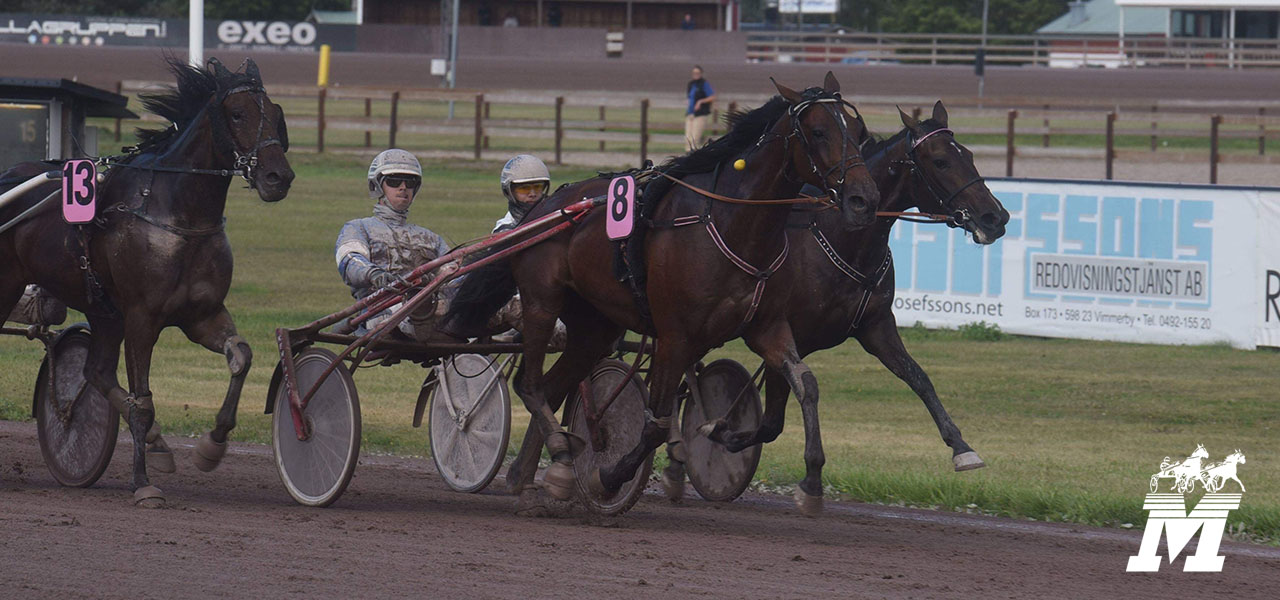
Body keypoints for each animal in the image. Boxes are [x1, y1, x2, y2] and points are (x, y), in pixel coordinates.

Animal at [0, 57, 293, 504]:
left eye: (276, 114)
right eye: (237, 113)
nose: (279, 177)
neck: (178, 216)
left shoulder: (201, 314)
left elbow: (241, 356)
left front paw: (211, 445)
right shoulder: (142, 318)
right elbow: (142, 402)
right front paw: (143, 483)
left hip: (102, 310)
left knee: (96, 372)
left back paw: (156, 443)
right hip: (11, 287)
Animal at [448, 72, 880, 511]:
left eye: (859, 131)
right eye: (818, 131)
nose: (865, 199)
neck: (730, 223)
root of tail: (542, 211)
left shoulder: (767, 327)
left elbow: (806, 384)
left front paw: (811, 481)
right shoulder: (676, 336)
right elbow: (655, 424)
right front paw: (609, 476)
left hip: (594, 326)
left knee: (553, 387)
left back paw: (544, 470)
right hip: (541, 302)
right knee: (530, 385)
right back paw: (559, 458)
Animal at [696, 102, 1003, 481]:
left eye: (970, 155)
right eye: (941, 161)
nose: (996, 217)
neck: (842, 237)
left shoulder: (875, 326)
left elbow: (919, 377)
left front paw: (961, 447)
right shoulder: (784, 334)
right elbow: (772, 420)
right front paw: (719, 432)